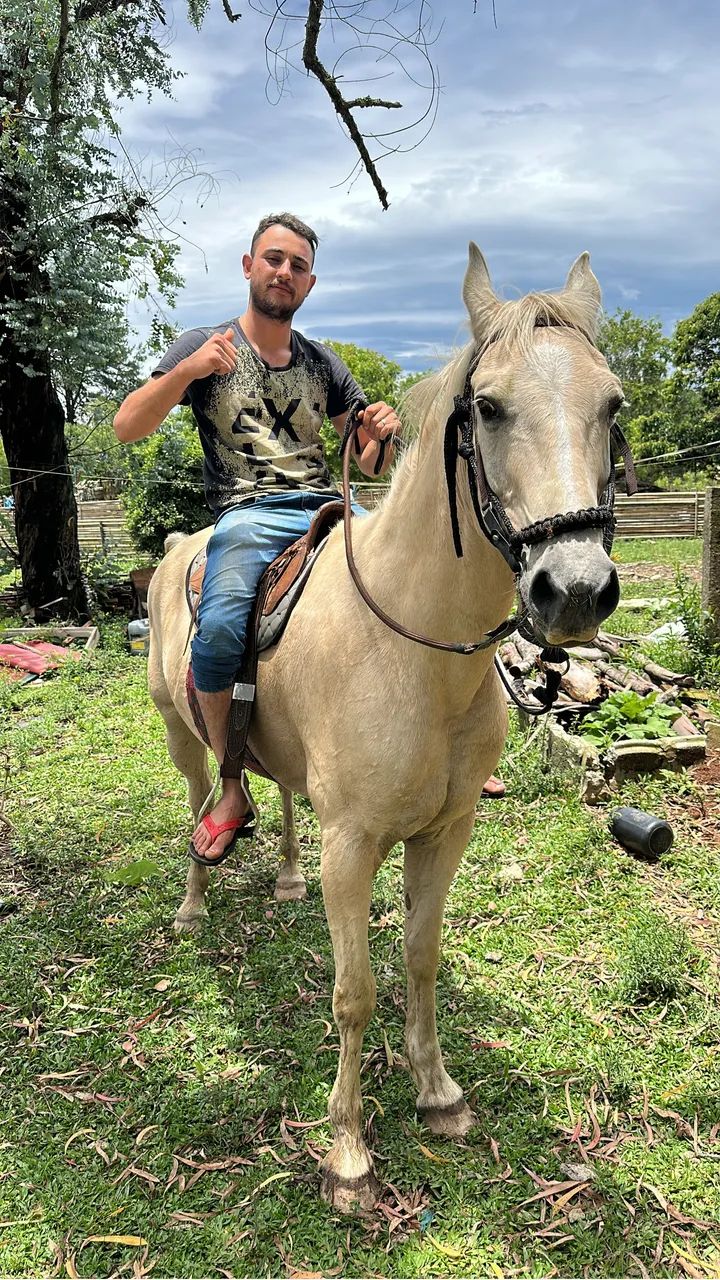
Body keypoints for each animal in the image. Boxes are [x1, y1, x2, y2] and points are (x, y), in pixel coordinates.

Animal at [147, 244, 625, 1211]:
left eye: (614, 404)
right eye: (489, 407)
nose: (576, 590)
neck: (412, 650)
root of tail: (180, 547)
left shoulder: (445, 833)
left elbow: (420, 957)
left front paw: (436, 1092)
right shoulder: (355, 844)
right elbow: (354, 992)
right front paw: (347, 1150)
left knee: (273, 794)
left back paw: (285, 877)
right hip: (182, 739)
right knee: (201, 802)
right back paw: (194, 899)